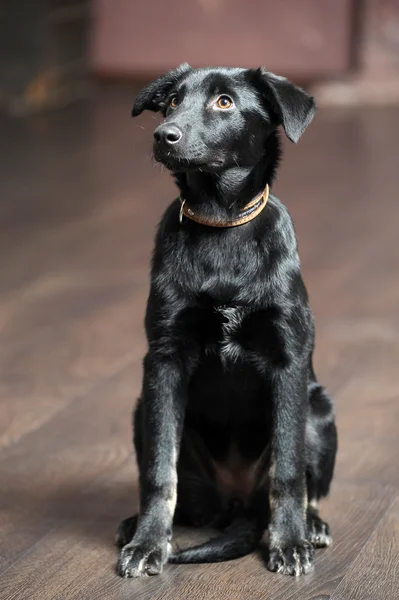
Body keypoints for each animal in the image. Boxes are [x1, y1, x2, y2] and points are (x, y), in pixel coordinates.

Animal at [115, 64, 338, 576]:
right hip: (142, 408)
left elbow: (288, 469)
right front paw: (148, 542)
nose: (163, 135)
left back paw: (310, 525)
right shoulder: (164, 362)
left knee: (304, 484)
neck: (221, 224)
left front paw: (288, 542)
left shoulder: (288, 362)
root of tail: (236, 502)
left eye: (225, 102)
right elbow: (159, 470)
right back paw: (136, 524)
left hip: (319, 408)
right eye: (172, 101)